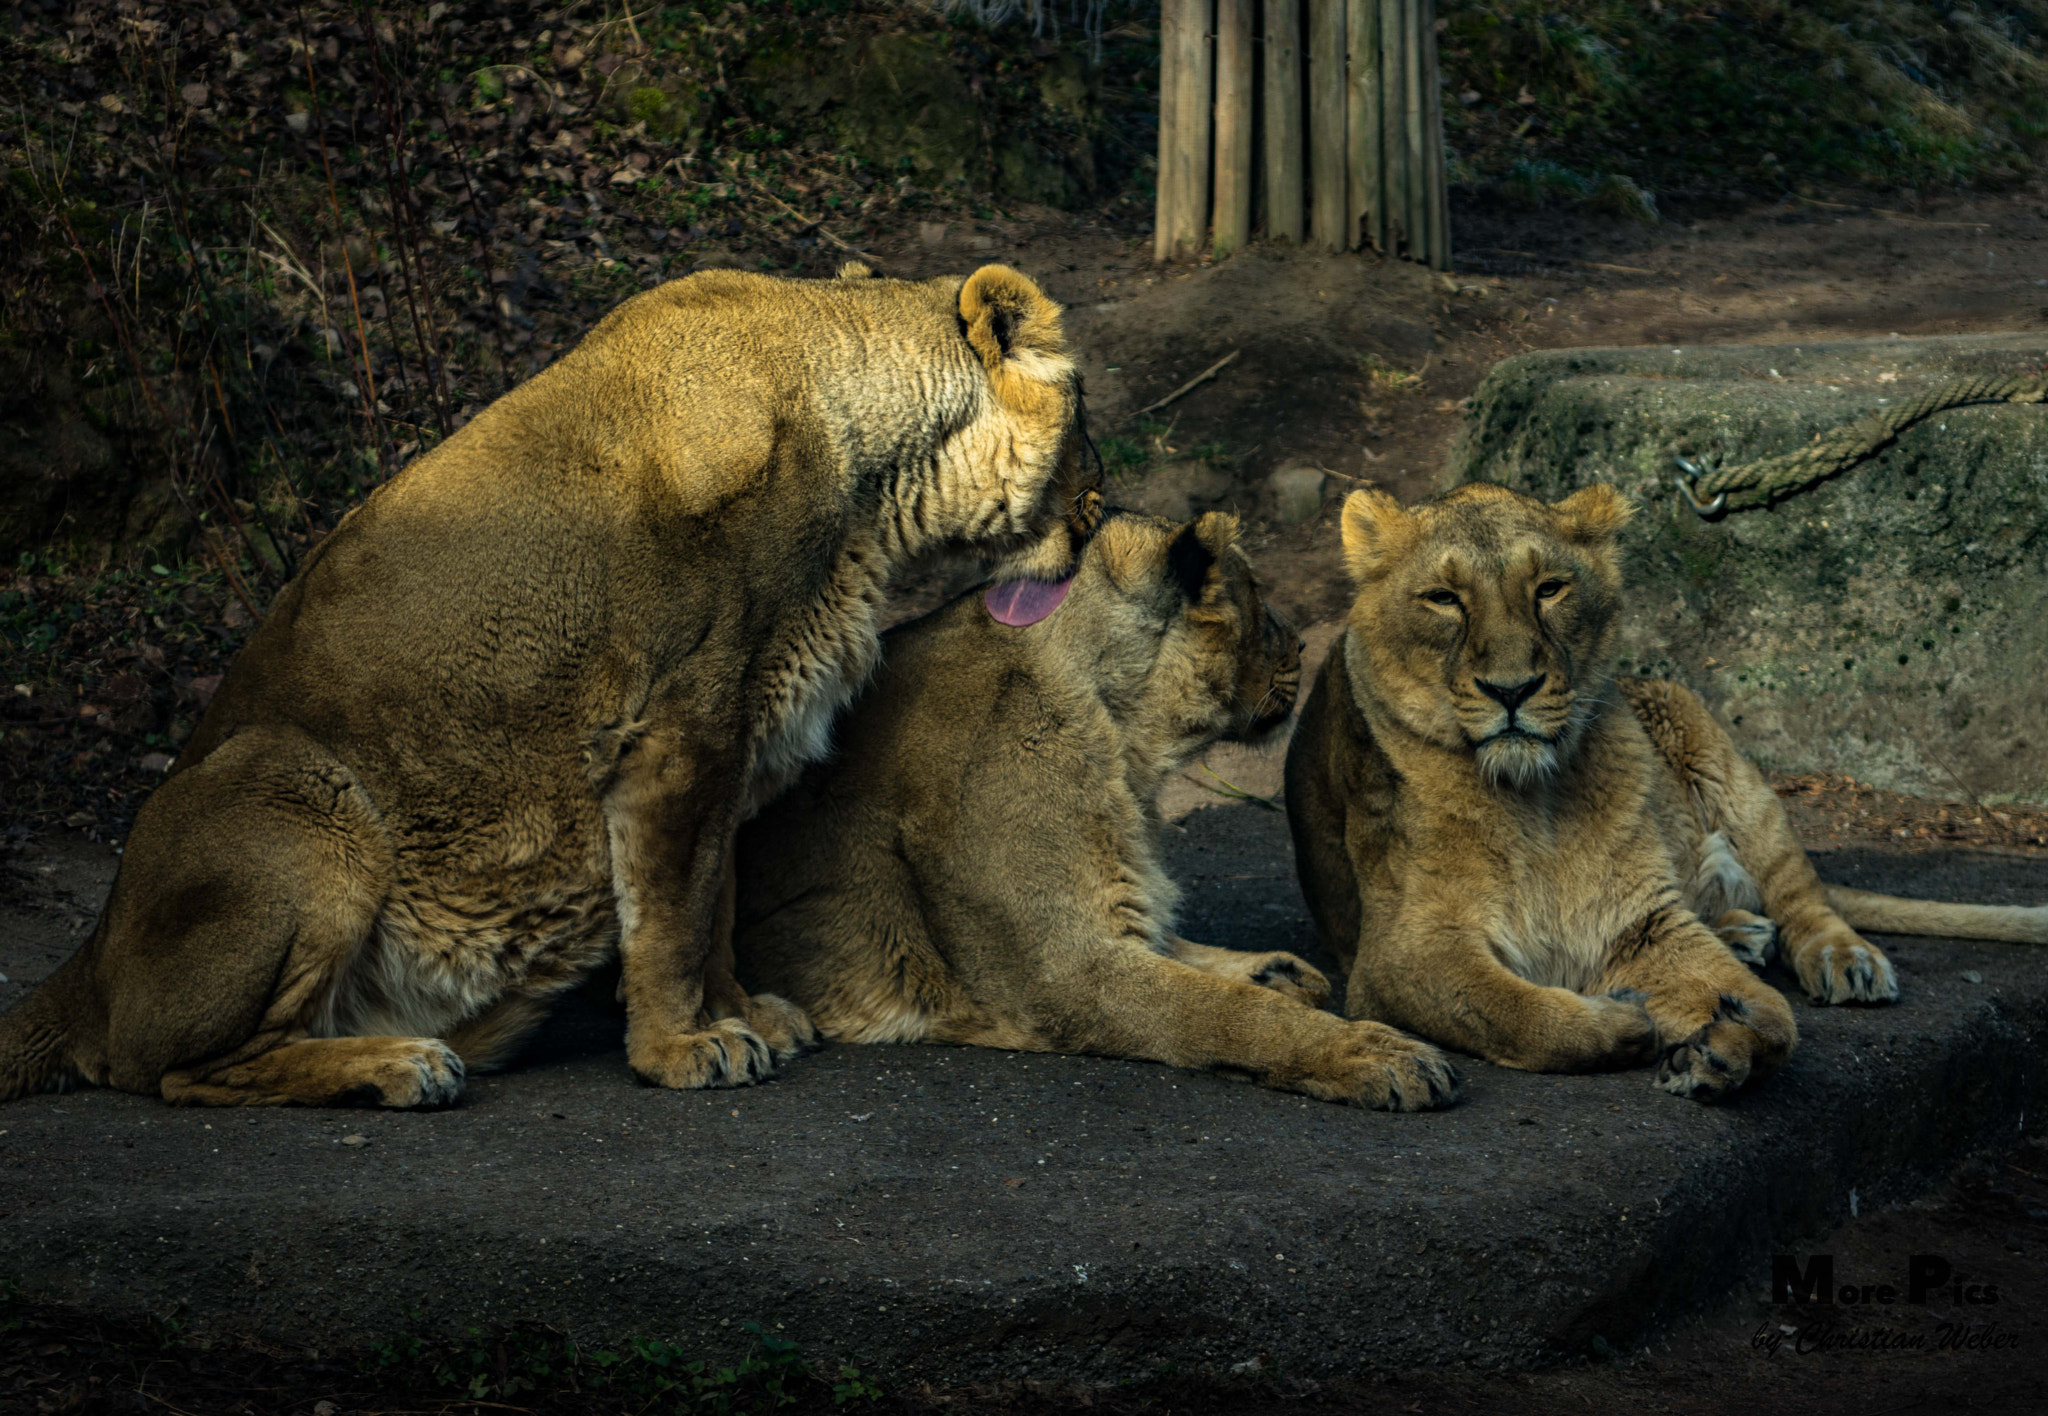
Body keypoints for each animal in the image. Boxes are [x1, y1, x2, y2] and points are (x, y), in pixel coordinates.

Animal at [0, 262, 1103, 1108]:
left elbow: (715, 897)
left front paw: (744, 1015)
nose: (1104, 509)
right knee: (173, 1070)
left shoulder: (742, 729)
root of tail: (86, 967)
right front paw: (682, 1050)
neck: (878, 491)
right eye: (1087, 416)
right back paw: (400, 1066)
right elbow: (675, 911)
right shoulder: (682, 723)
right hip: (298, 785)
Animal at [732, 510, 1460, 1111]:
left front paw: (1274, 969)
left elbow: (1183, 950)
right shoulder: (1069, 973)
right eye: (1254, 598)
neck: (1124, 737)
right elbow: (1230, 1011)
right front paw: (1367, 1050)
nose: (1302, 649)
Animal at [1285, 481, 2047, 1101]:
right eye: (1444, 599)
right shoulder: (1399, 955)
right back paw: (1742, 931)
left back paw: (1842, 958)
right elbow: (1516, 1012)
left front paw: (1723, 1046)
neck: (1534, 799)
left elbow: (1776, 1018)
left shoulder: (1643, 922)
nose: (1512, 690)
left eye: (1549, 589)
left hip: (1720, 756)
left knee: (1801, 893)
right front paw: (1623, 1019)